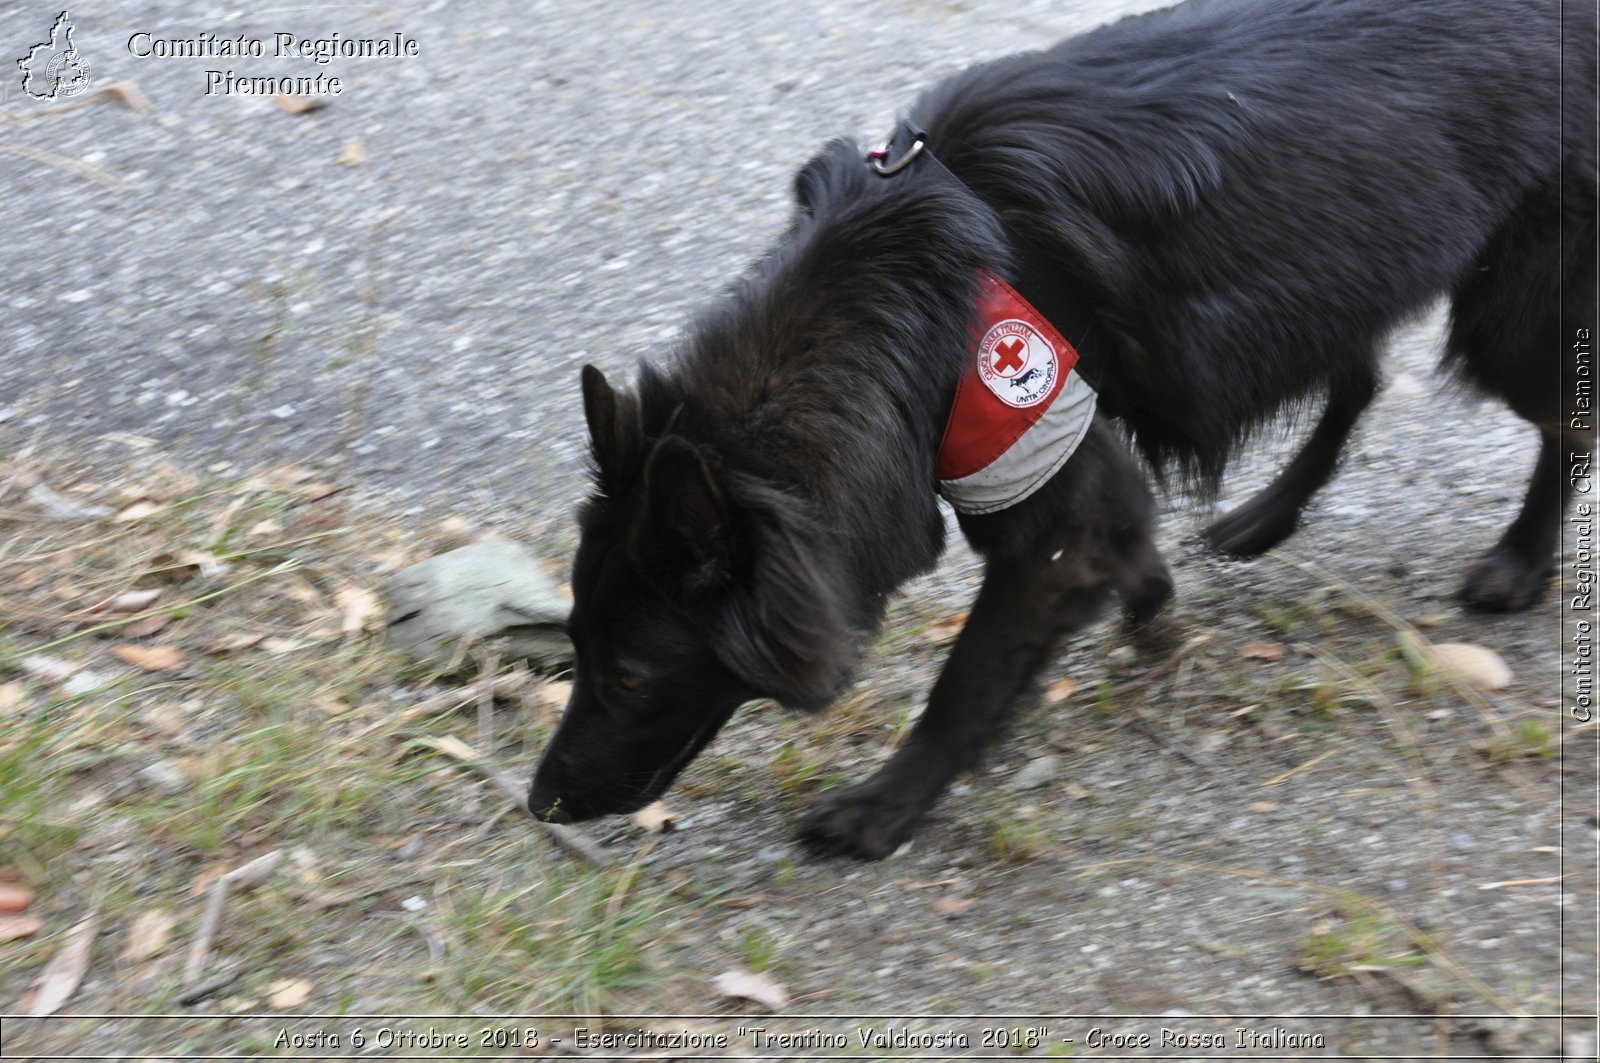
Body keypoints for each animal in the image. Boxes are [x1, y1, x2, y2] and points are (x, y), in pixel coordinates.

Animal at [531, 0, 1593, 858]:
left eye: (632, 675)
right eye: (574, 645)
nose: (541, 803)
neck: (900, 295)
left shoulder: (1040, 485)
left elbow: (966, 677)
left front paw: (886, 804)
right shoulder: (1060, 453)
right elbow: (1127, 545)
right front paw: (1153, 602)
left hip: (1505, 323)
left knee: (1562, 426)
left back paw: (1520, 560)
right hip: (1339, 271)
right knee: (1361, 374)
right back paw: (1266, 517)